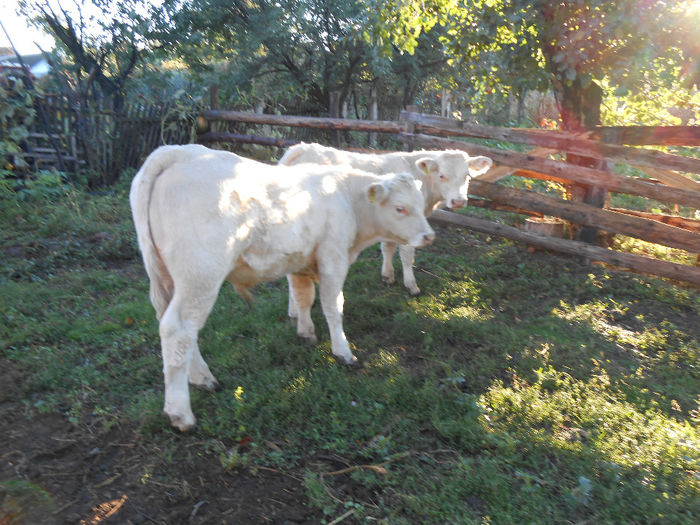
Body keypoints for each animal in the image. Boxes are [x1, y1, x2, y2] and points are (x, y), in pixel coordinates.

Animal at [131, 144, 434, 430]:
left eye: (420, 204)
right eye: (399, 208)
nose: (429, 236)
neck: (346, 197)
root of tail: (177, 152)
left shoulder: (301, 261)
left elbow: (303, 297)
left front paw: (306, 333)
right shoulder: (333, 258)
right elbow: (333, 306)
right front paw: (343, 351)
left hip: (171, 279)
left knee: (178, 328)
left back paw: (203, 378)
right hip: (200, 276)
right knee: (179, 330)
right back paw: (181, 413)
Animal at [278, 143, 492, 294]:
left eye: (467, 176)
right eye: (442, 175)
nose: (458, 201)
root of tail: (300, 148)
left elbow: (387, 247)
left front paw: (387, 276)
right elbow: (406, 253)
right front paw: (411, 285)